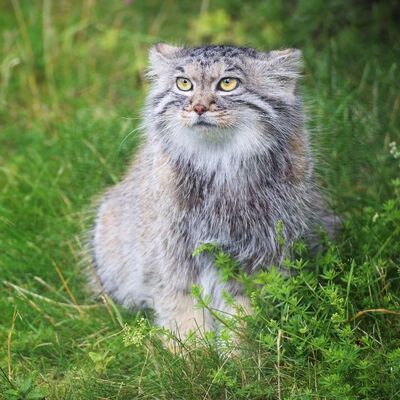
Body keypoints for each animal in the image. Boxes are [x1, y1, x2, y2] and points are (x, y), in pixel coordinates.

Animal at [90, 43, 334, 336]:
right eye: (183, 83)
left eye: (228, 83)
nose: (198, 107)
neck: (219, 163)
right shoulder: (172, 252)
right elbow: (182, 308)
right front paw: (188, 348)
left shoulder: (260, 253)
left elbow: (244, 312)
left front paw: (239, 348)